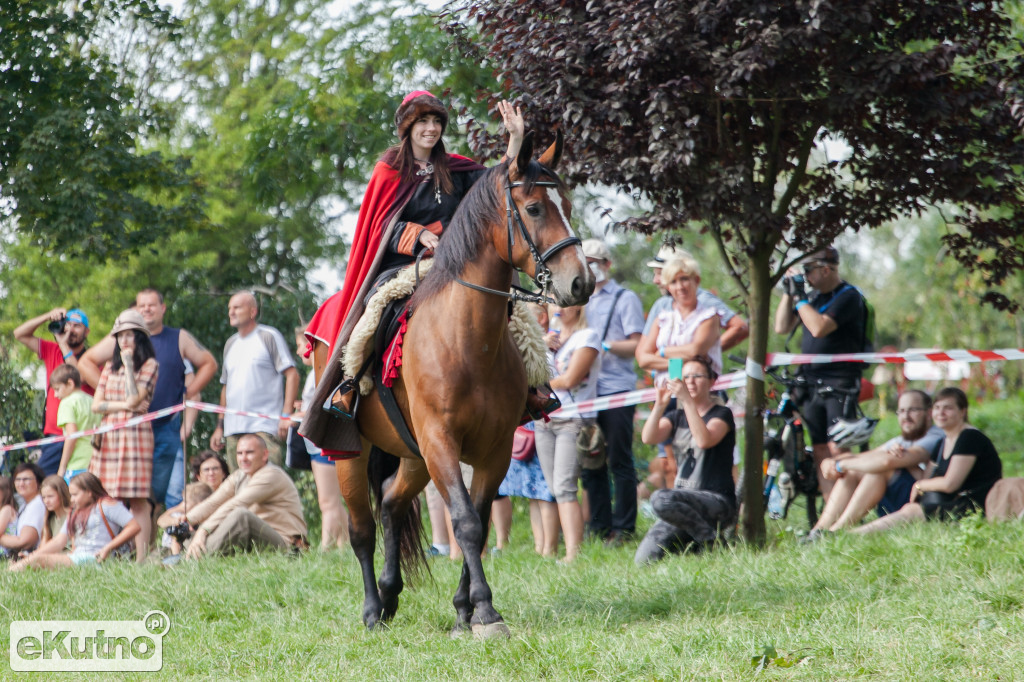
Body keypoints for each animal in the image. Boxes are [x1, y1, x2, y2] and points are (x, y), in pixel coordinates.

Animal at [317, 131, 593, 630]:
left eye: (566, 202)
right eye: (534, 208)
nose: (581, 282)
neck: (465, 339)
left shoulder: (493, 449)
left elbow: (480, 523)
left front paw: (467, 608)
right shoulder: (441, 440)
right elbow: (464, 519)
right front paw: (483, 607)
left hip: (413, 455)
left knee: (392, 503)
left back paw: (390, 594)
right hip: (352, 450)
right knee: (362, 529)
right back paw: (371, 609)